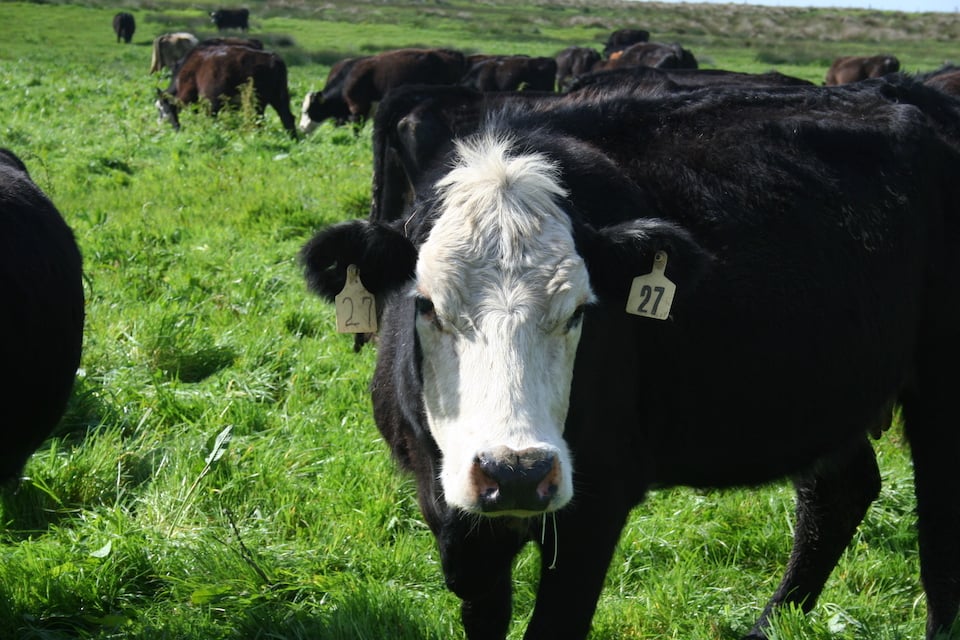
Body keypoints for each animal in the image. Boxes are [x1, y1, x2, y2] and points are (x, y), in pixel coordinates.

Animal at [155, 44, 297, 138]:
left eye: (161, 108)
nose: (160, 125)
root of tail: (273, 58)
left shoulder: (207, 100)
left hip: (258, 101)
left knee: (259, 120)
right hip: (279, 97)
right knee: (287, 117)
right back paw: (292, 139)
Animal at [299, 76, 960, 639]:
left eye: (579, 311)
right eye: (428, 306)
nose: (516, 472)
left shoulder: (597, 501)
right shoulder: (450, 512)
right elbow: (485, 613)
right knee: (838, 495)